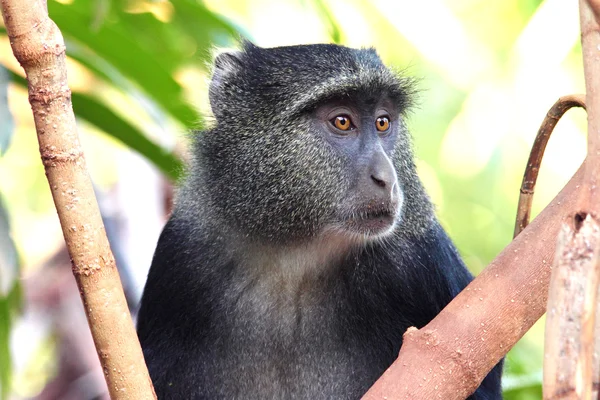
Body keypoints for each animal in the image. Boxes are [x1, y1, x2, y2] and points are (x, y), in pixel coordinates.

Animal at [136, 42, 502, 398]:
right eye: (342, 121)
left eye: (382, 122)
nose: (386, 178)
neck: (294, 249)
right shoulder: (184, 247)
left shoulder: (418, 258)